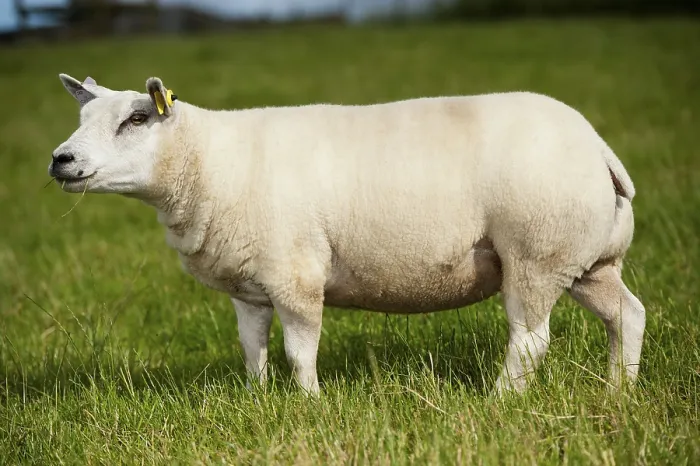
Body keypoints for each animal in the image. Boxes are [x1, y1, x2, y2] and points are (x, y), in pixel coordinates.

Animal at [49, 73, 646, 396]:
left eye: (136, 120)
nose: (61, 160)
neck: (211, 161)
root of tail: (599, 148)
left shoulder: (294, 274)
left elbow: (299, 352)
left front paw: (308, 406)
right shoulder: (250, 285)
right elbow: (251, 348)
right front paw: (257, 399)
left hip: (536, 252)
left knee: (530, 340)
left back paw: (499, 401)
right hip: (588, 261)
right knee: (627, 315)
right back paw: (619, 389)